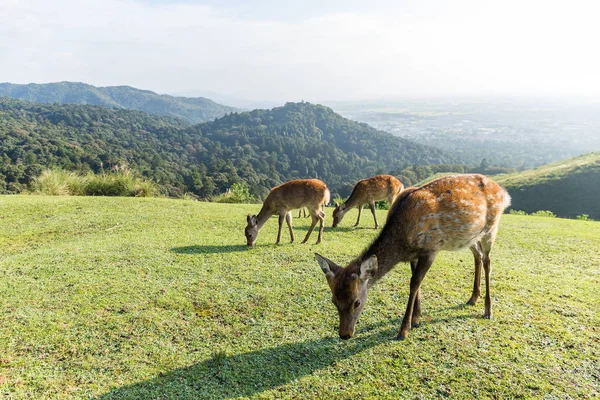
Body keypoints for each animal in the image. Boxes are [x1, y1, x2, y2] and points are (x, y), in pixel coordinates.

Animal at [314, 173, 510, 340]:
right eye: (334, 300)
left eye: (356, 302)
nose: (345, 334)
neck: (403, 242)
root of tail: (504, 193)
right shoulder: (414, 255)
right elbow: (417, 283)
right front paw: (416, 318)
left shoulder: (431, 248)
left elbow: (414, 283)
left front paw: (404, 329)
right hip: (470, 237)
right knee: (478, 256)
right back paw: (473, 298)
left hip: (490, 228)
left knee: (488, 261)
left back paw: (488, 309)